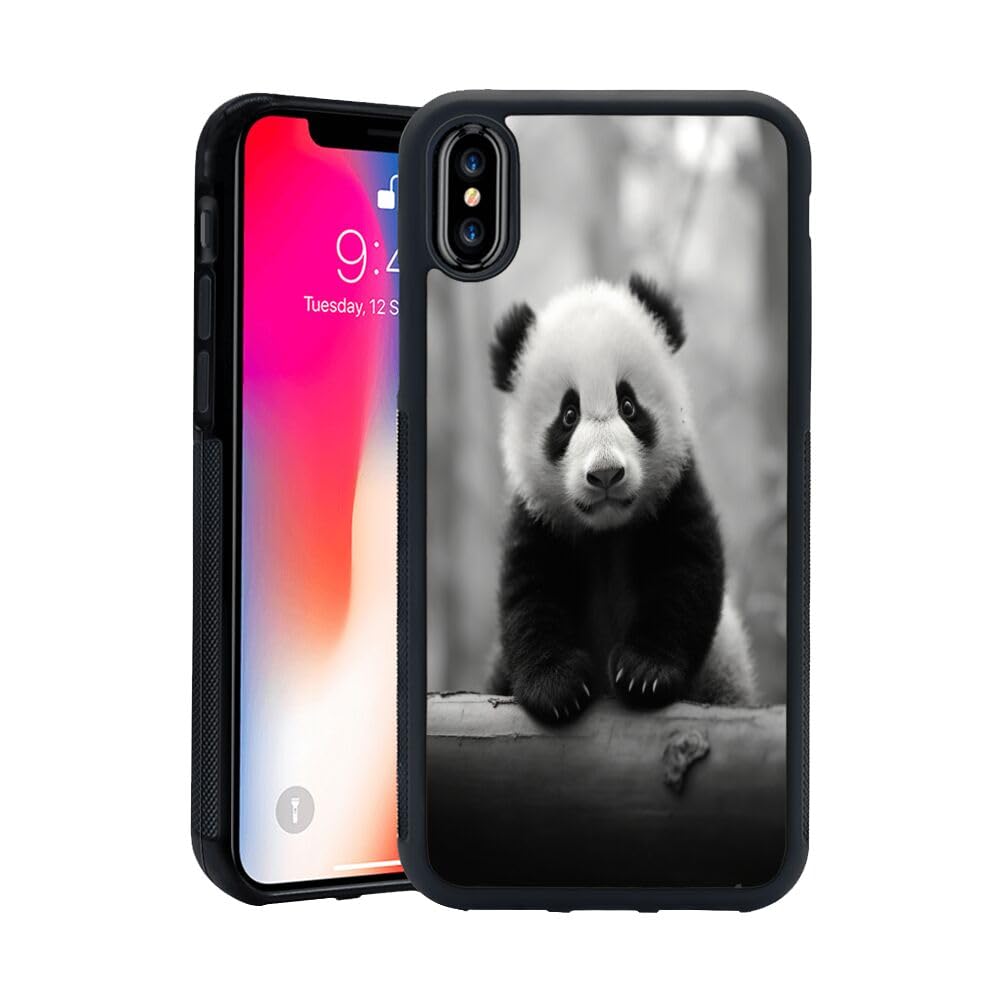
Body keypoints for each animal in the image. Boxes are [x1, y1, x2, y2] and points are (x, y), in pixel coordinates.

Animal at [488, 274, 756, 722]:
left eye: (628, 405)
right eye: (569, 415)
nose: (606, 474)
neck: (606, 532)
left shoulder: (674, 492)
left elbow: (686, 571)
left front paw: (644, 671)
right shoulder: (539, 514)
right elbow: (529, 592)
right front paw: (555, 686)